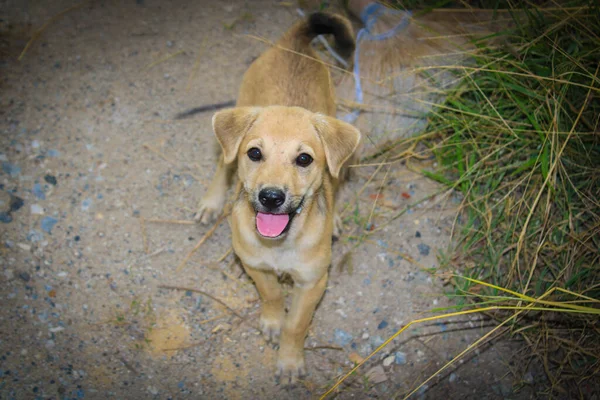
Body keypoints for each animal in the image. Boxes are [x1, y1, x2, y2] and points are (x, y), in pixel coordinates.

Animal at [197, 11, 360, 382]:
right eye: (255, 153)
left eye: (304, 159)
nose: (271, 197)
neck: (281, 244)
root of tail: (293, 42)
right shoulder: (253, 264)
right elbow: (270, 294)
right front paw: (273, 321)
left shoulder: (313, 283)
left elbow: (297, 326)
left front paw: (289, 360)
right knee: (222, 162)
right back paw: (211, 202)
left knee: (337, 175)